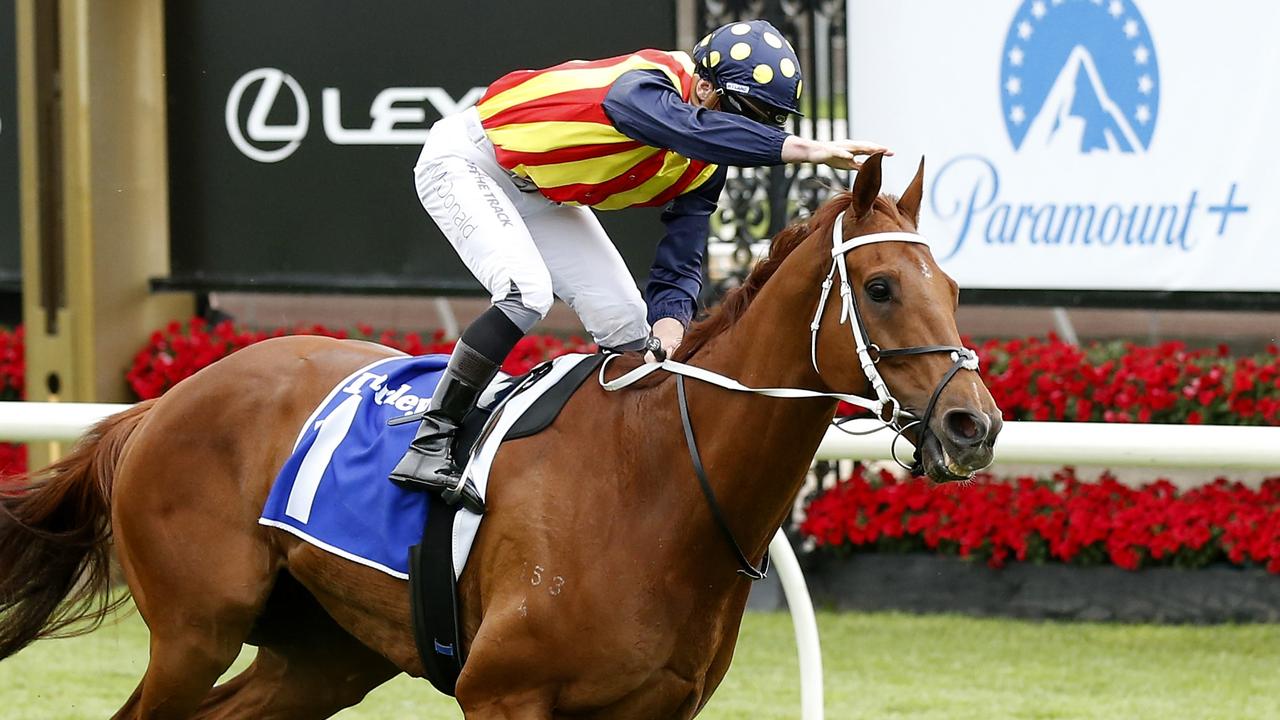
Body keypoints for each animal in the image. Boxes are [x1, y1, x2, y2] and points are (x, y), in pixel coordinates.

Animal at [0, 154, 998, 712]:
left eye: (953, 286)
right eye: (880, 288)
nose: (974, 424)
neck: (659, 486)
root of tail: (160, 404)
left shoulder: (654, 710)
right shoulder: (503, 693)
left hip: (325, 655)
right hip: (195, 631)